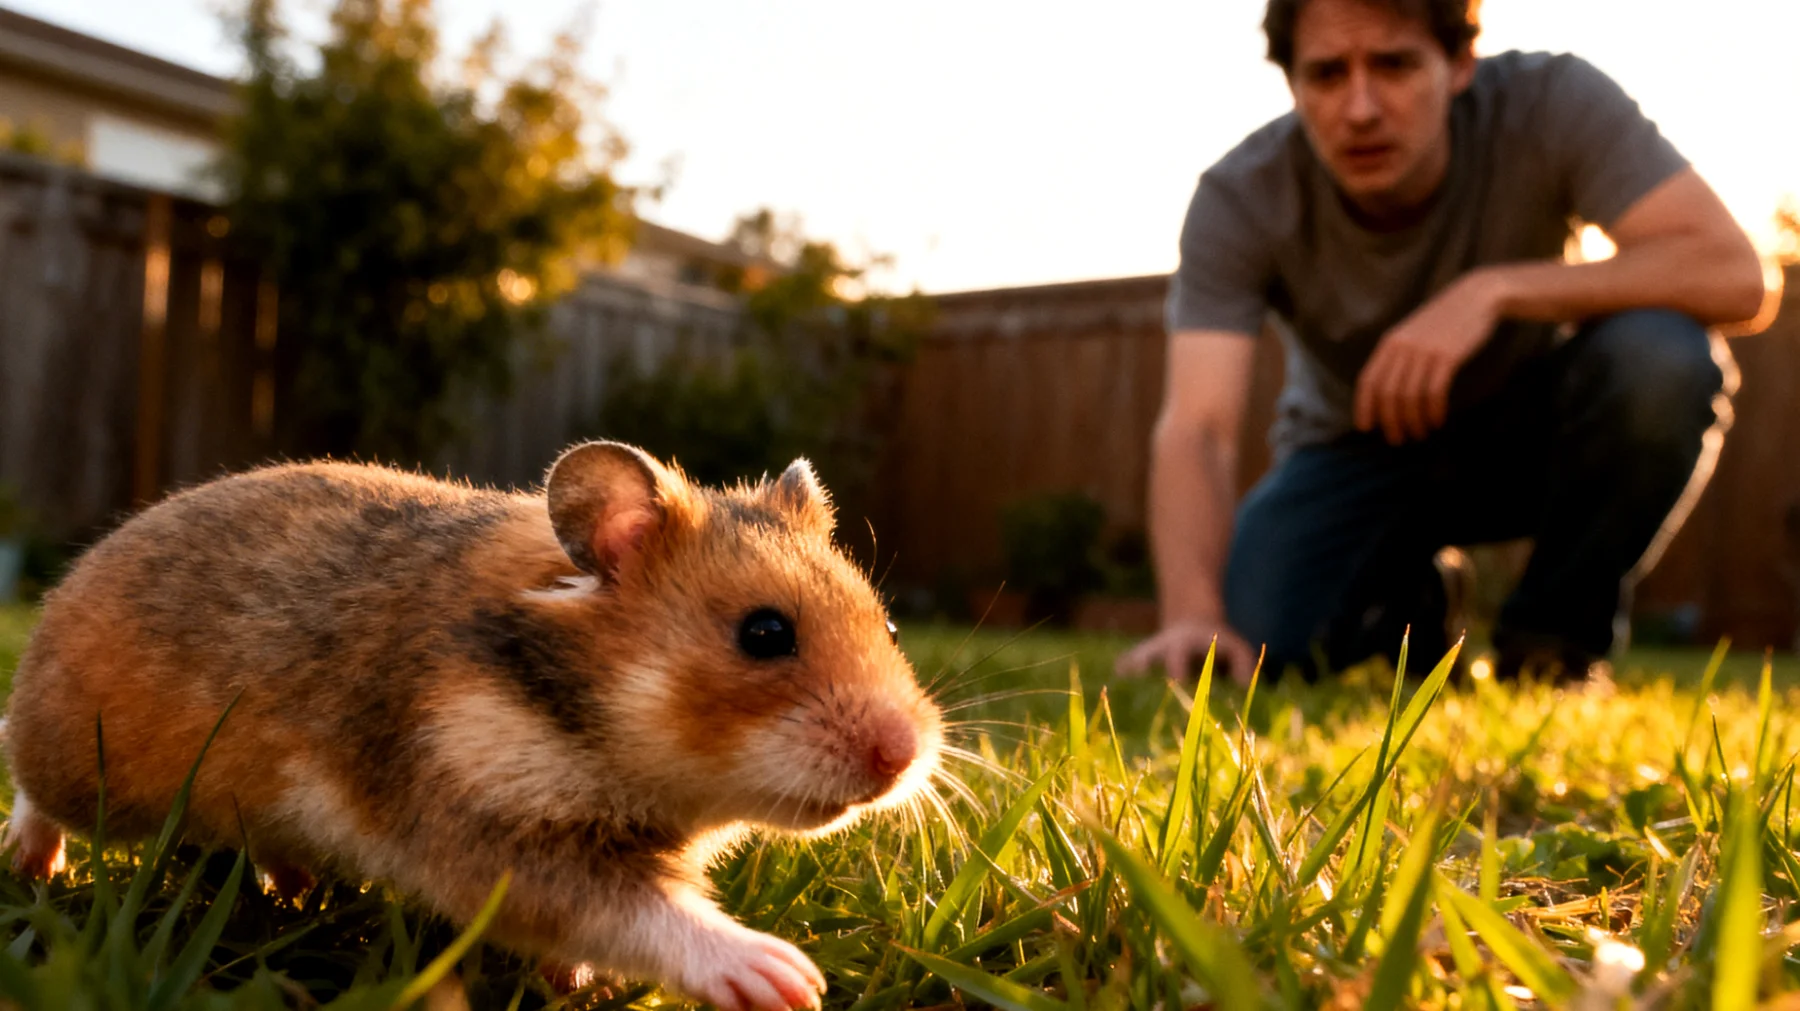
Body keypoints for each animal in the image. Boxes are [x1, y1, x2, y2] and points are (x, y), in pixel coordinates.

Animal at [2, 440, 943, 1011]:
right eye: (764, 634)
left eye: (893, 628)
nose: (901, 759)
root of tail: (79, 572)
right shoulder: (491, 834)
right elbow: (639, 914)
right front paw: (786, 978)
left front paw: (571, 981)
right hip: (82, 766)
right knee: (27, 779)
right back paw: (33, 864)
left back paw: (297, 886)